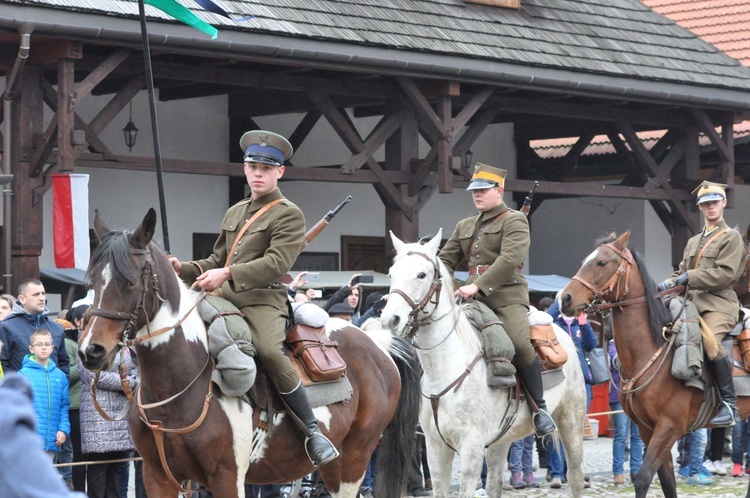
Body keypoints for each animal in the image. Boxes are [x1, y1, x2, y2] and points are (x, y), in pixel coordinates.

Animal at [80, 208, 426, 496]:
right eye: (92, 280)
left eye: (129, 281)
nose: (91, 350)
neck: (179, 386)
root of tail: (376, 343)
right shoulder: (157, 477)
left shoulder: (226, 477)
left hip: (354, 458)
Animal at [382, 231, 588, 498]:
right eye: (391, 273)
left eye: (421, 274)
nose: (390, 320)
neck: (446, 370)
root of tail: (560, 329)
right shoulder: (435, 448)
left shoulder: (471, 448)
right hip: (501, 440)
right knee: (494, 483)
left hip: (571, 421)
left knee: (575, 476)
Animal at [560, 231, 750, 498]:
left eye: (602, 262)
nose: (565, 298)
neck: (650, 353)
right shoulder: (647, 429)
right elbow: (667, 481)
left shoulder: (669, 428)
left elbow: (643, 478)